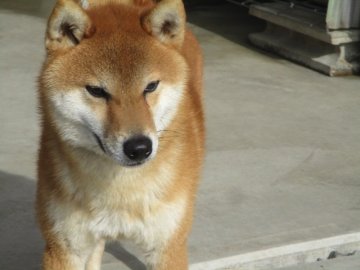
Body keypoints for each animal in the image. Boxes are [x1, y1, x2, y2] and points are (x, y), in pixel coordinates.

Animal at [37, 0, 205, 268]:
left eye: (151, 86)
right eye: (96, 91)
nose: (139, 147)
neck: (121, 193)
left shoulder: (167, 247)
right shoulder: (64, 247)